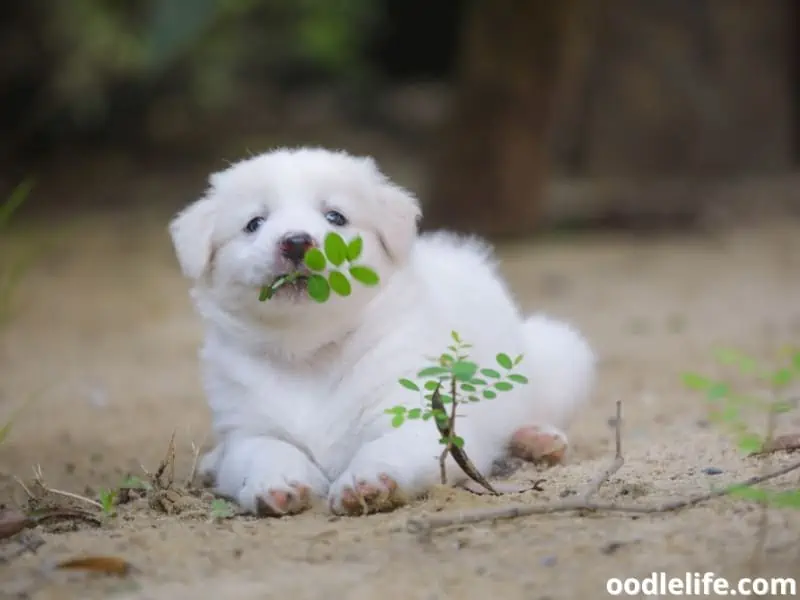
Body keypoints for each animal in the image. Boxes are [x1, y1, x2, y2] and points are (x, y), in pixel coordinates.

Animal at [169, 146, 592, 516]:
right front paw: (276, 483)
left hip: (558, 357)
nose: (296, 242)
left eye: (335, 217)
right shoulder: (248, 428)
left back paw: (537, 439)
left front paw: (366, 482)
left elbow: (386, 449)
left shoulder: (418, 416)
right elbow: (264, 452)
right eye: (254, 224)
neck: (310, 354)